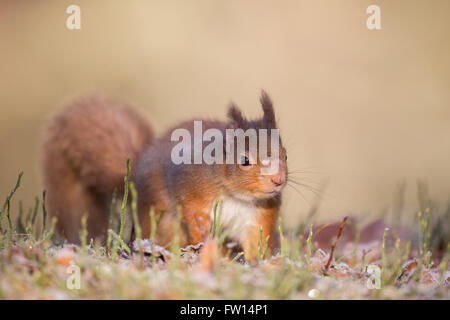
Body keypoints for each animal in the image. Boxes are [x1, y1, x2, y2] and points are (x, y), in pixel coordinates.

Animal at [43, 91, 288, 262]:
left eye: (285, 154)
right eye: (245, 160)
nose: (277, 180)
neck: (236, 196)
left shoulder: (258, 215)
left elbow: (257, 239)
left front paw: (258, 262)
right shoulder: (189, 183)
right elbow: (192, 212)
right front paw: (203, 235)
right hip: (163, 221)